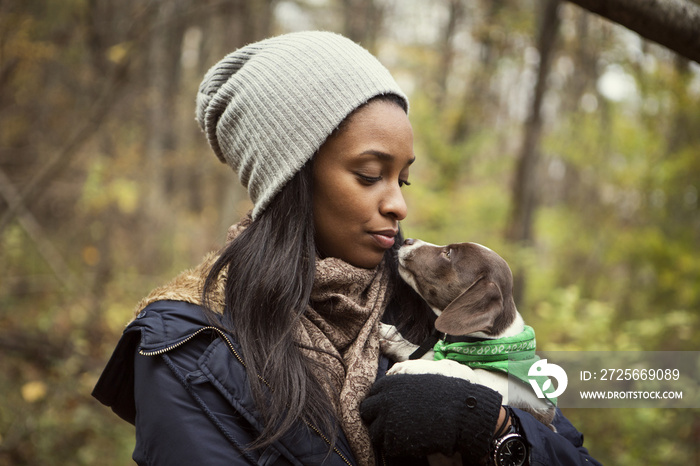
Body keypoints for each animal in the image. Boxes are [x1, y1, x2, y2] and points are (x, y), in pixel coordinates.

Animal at [380, 240, 556, 430]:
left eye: (448, 254)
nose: (408, 241)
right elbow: (430, 353)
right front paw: (393, 339)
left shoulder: (491, 388)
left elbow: (455, 365)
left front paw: (411, 366)